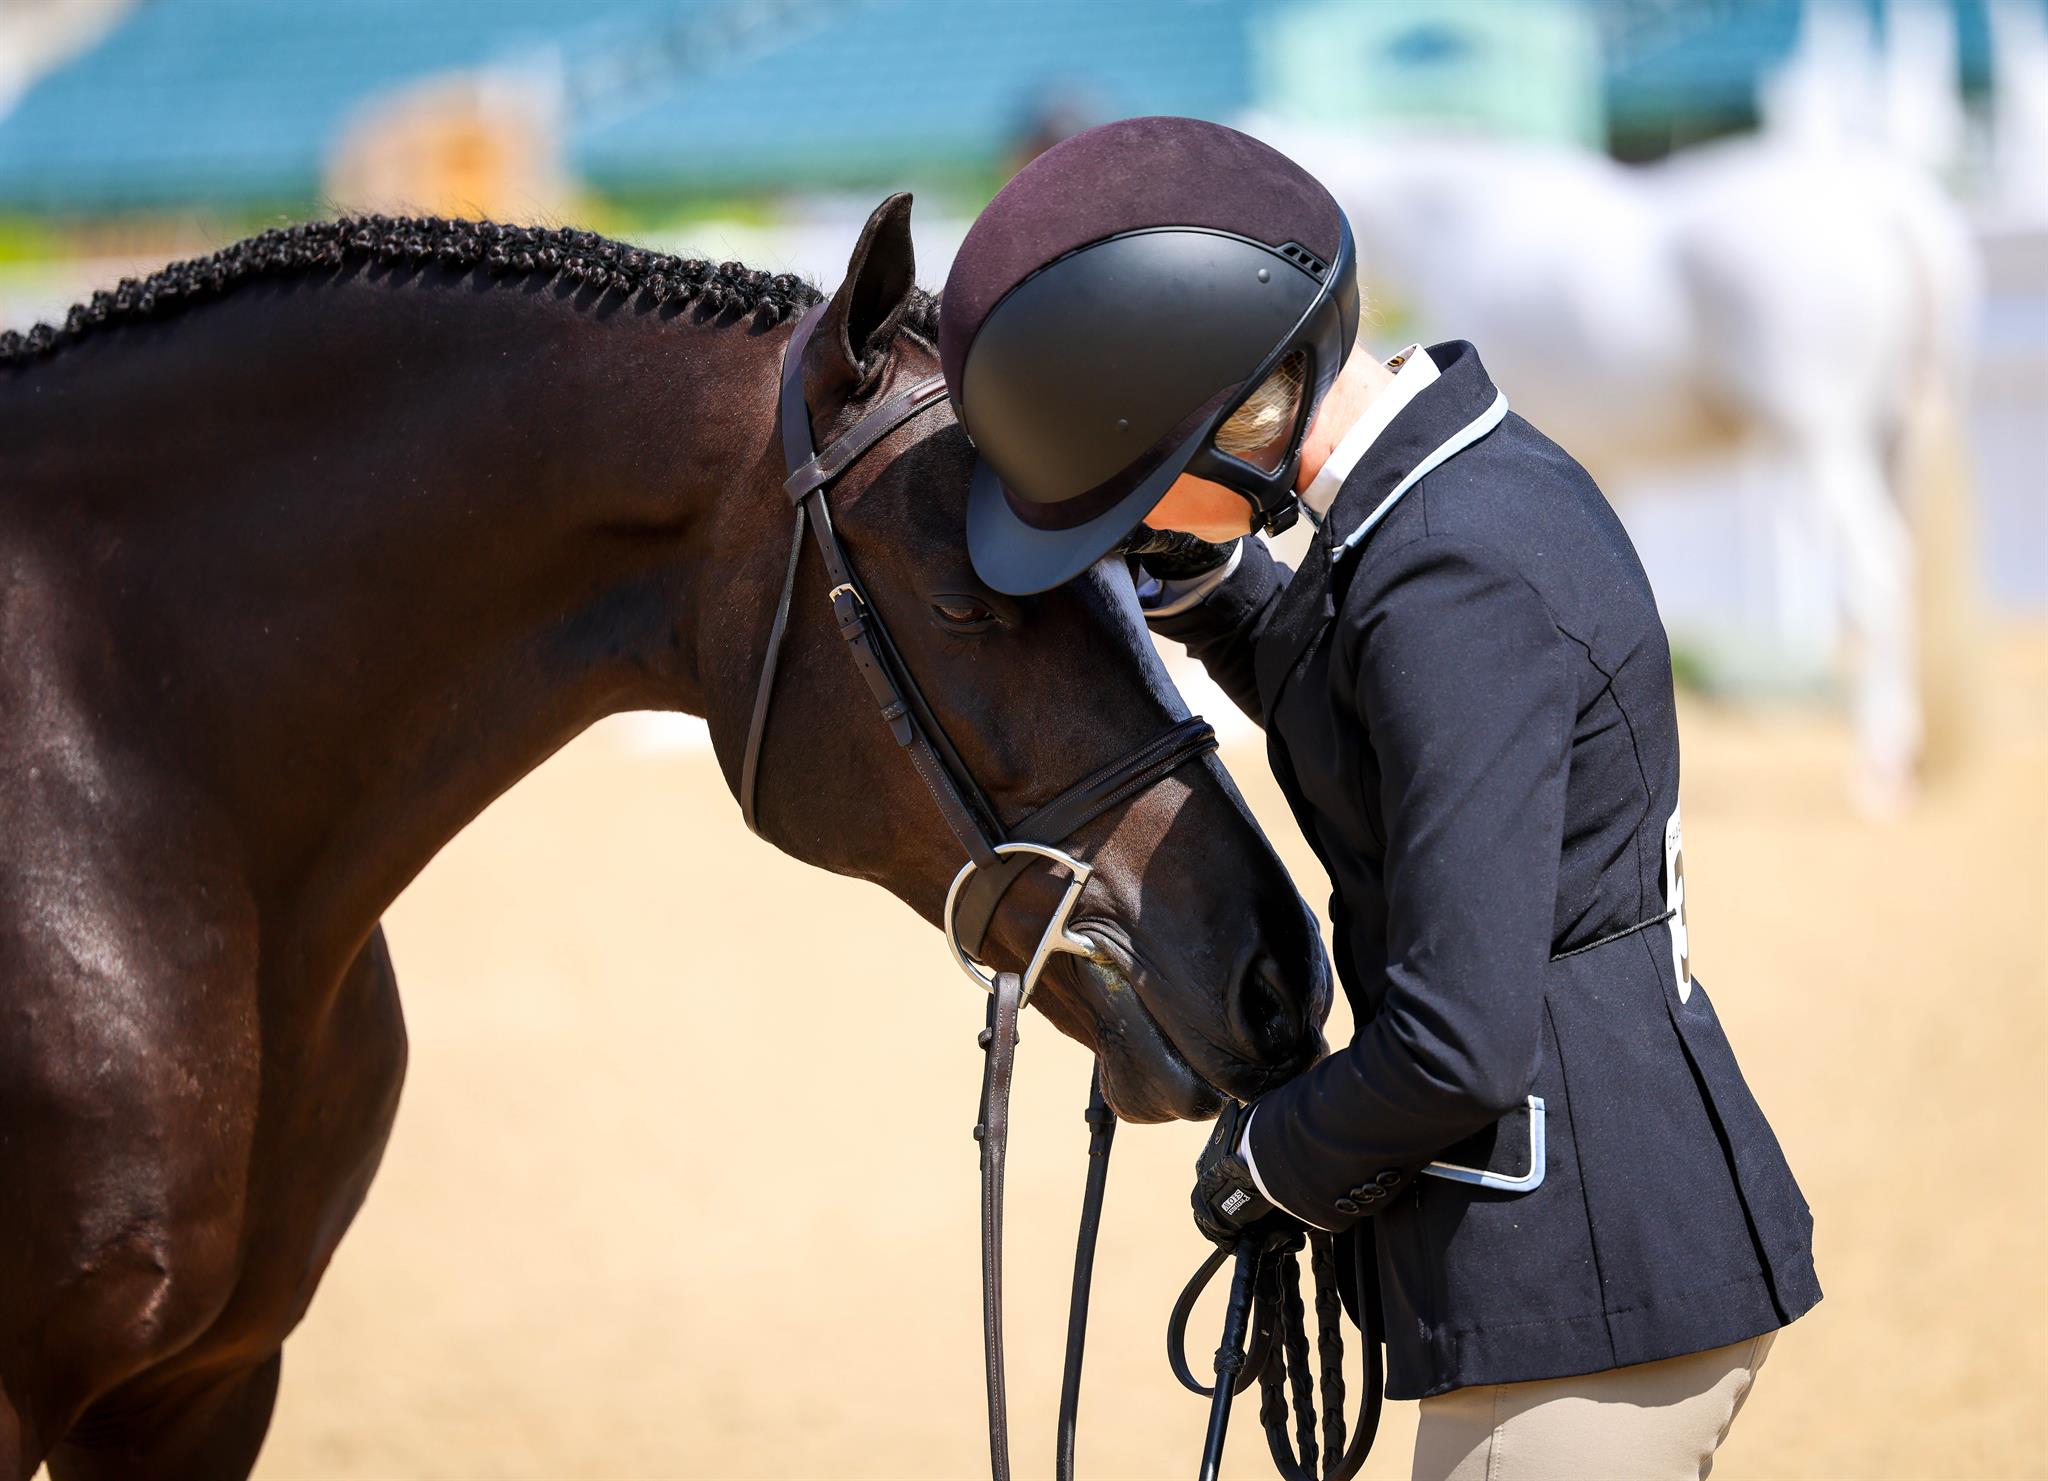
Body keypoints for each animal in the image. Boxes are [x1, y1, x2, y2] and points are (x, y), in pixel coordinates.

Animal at [1255, 123, 1979, 810]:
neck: (1465, 225)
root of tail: (1886, 199)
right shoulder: (1596, 461)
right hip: (1886, 435)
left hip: (1818, 438)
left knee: (1876, 573)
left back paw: (1878, 763)